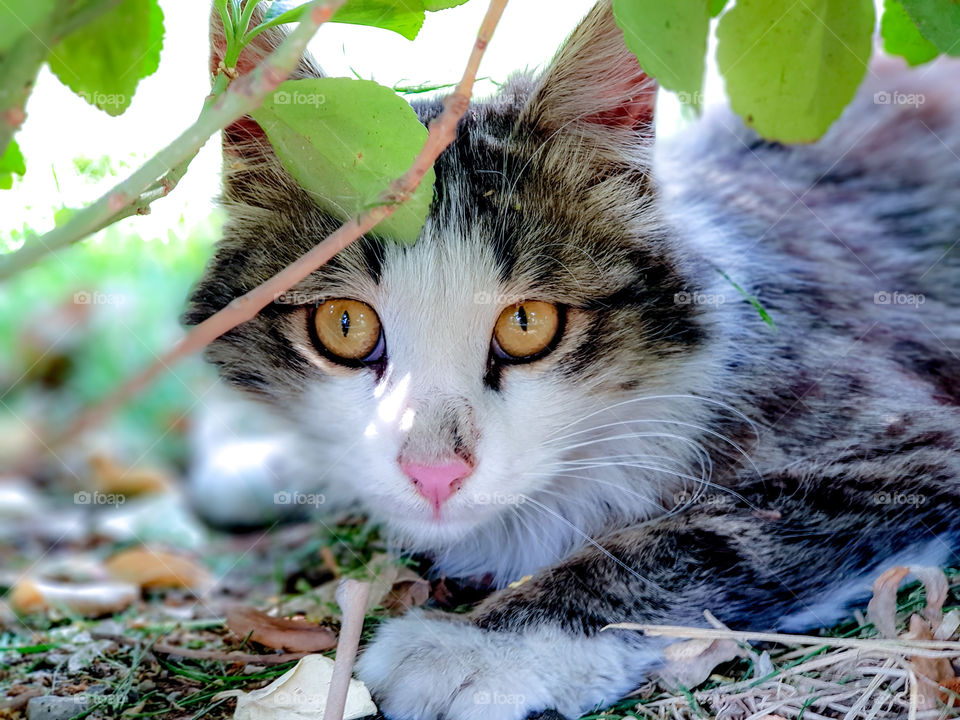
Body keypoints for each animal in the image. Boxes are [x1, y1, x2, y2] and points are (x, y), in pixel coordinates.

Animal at [186, 2, 960, 716]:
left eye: (527, 324)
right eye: (343, 326)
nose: (434, 475)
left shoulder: (906, 448)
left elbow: (691, 542)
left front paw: (474, 645)